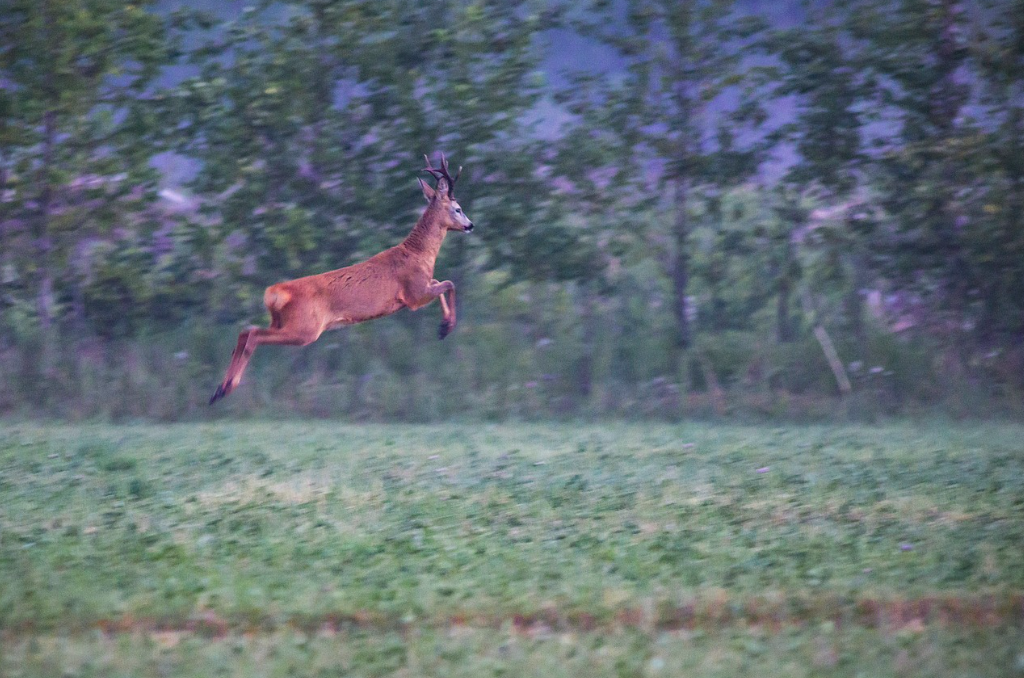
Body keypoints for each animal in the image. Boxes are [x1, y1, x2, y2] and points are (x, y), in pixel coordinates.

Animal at [211, 153, 475, 403]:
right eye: (458, 208)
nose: (470, 225)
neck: (418, 255)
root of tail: (276, 292)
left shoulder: (421, 288)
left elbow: (441, 282)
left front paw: (443, 326)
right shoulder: (414, 295)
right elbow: (449, 283)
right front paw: (446, 327)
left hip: (282, 322)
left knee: (245, 332)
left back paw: (219, 391)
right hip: (305, 328)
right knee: (253, 336)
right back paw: (228, 387)